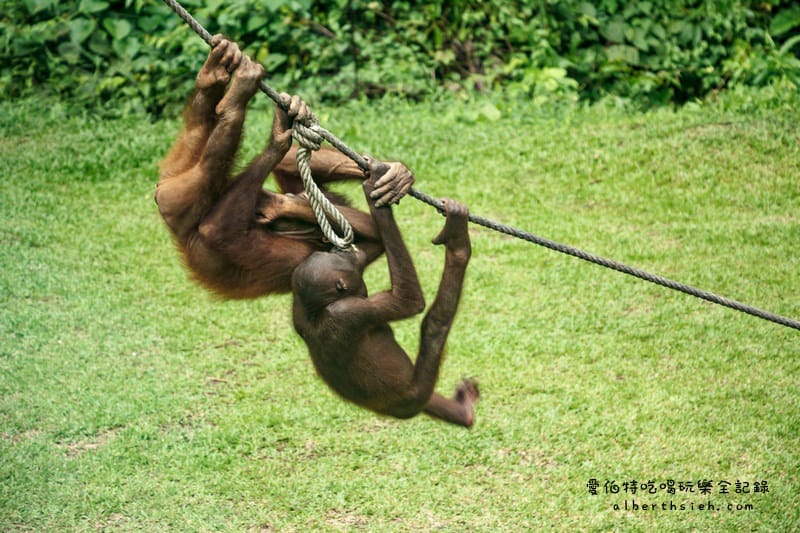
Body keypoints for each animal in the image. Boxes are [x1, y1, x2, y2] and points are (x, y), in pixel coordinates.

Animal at [154, 35, 414, 299]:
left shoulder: (294, 256)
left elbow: (217, 230)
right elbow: (288, 162)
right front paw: (394, 174)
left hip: (176, 194)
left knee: (210, 162)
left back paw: (231, 96)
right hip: (179, 171)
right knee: (202, 133)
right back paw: (215, 75)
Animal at [291, 158, 479, 428]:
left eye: (332, 255)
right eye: (340, 260)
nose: (343, 251)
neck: (319, 309)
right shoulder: (350, 312)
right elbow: (408, 300)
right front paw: (373, 186)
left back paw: (462, 411)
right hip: (417, 392)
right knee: (435, 326)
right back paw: (457, 242)